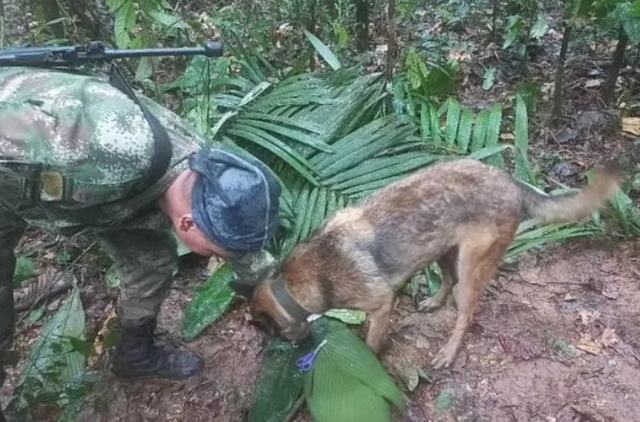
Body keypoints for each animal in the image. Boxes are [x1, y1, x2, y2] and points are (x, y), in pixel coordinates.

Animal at [235, 160, 620, 368]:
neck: (295, 285)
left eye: (272, 333)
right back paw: (434, 302)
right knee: (446, 281)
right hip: (442, 250)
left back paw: (448, 351)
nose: (296, 350)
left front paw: (369, 359)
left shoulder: (380, 304)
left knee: (465, 313)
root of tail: (511, 181)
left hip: (471, 266)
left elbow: (372, 342)